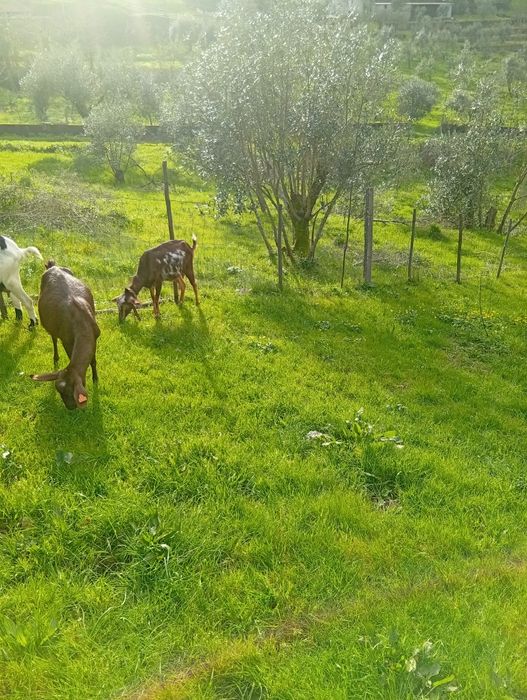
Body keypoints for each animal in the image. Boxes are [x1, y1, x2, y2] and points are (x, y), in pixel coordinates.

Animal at [31, 262, 100, 410]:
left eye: (70, 392)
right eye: (59, 391)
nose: (70, 408)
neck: (82, 324)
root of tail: (53, 266)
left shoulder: (96, 336)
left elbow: (93, 360)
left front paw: (95, 379)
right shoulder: (66, 340)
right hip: (51, 325)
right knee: (53, 338)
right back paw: (56, 357)